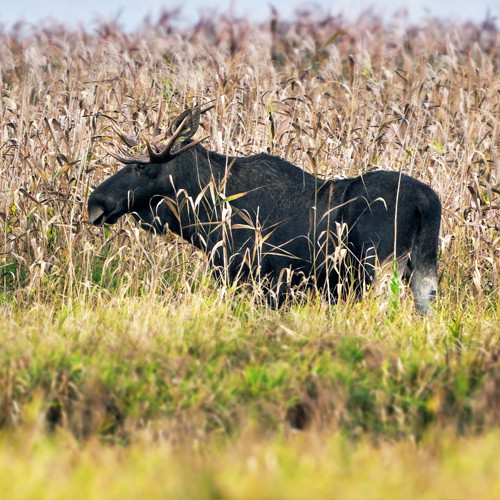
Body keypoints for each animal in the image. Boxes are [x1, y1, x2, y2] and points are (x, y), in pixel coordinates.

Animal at [87, 105, 442, 312]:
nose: (95, 203)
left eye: (140, 167)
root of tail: (427, 202)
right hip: (423, 267)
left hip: (380, 266)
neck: (202, 217)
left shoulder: (252, 276)